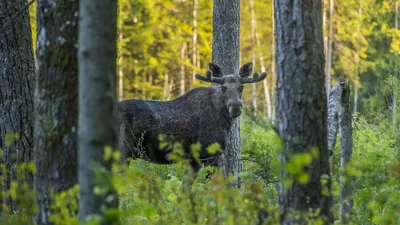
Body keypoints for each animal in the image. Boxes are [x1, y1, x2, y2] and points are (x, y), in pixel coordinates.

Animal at [119, 62, 268, 178]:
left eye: (241, 87)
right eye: (223, 87)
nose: (235, 106)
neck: (225, 122)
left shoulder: (193, 159)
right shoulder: (208, 153)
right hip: (123, 150)